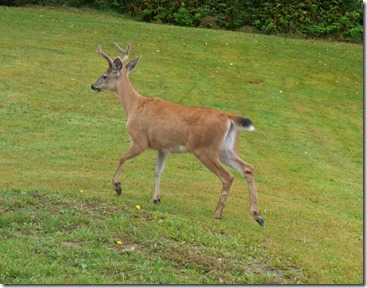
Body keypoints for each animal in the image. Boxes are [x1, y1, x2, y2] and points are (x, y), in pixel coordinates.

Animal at [91, 42, 264, 227]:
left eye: (104, 76)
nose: (92, 86)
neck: (134, 106)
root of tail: (229, 118)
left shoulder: (140, 140)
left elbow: (122, 157)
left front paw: (117, 186)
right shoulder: (162, 148)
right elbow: (158, 171)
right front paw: (156, 198)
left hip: (205, 148)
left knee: (228, 176)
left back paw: (218, 213)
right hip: (225, 148)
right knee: (248, 168)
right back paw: (258, 216)